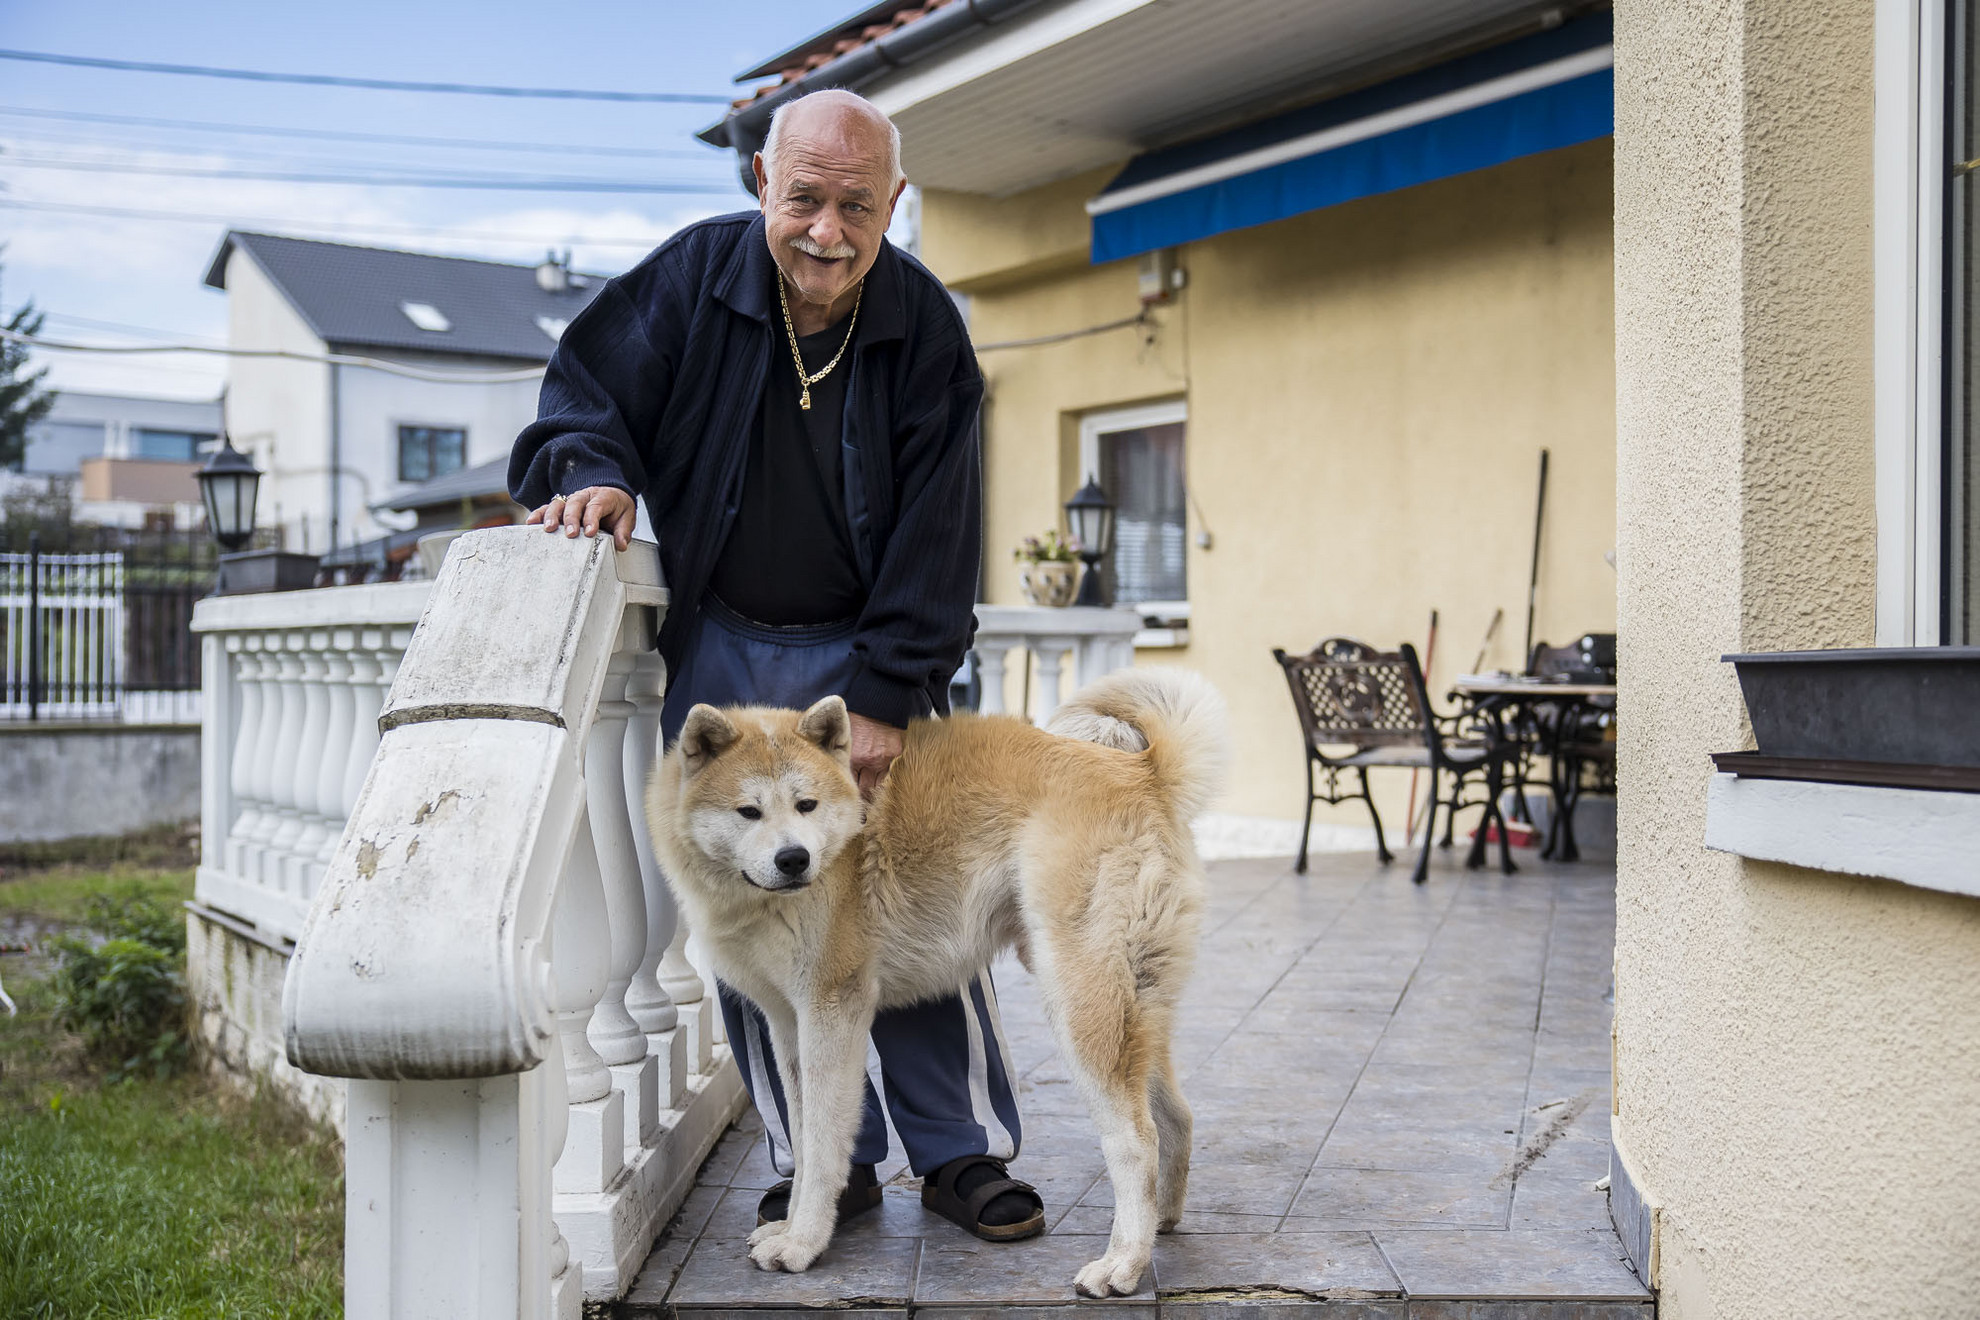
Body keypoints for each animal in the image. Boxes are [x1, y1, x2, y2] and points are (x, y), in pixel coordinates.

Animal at [645, 664, 1219, 1298]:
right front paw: (791, 1225)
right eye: (749, 811)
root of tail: (1143, 773)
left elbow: (822, 1146)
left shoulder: (832, 1014)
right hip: (1129, 1007)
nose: (794, 859)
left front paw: (804, 1241)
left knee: (1137, 1140)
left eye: (805, 805)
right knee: (1175, 1117)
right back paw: (1161, 1223)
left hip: (1079, 1004)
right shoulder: (786, 1024)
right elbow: (800, 1133)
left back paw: (1123, 1264)